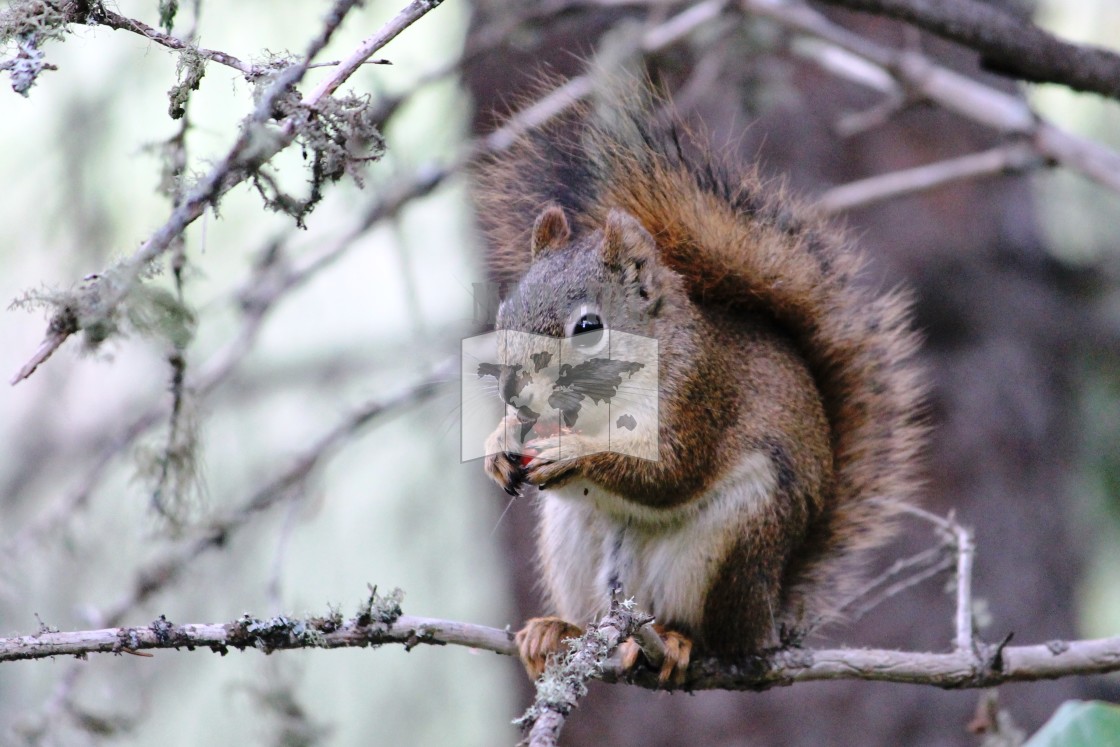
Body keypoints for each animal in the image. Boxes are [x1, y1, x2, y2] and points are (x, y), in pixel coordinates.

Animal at [477, 86, 922, 685]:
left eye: (588, 327)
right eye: (505, 313)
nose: (514, 392)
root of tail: (767, 617)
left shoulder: (699, 395)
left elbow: (670, 472)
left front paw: (574, 454)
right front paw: (498, 443)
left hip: (731, 544)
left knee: (711, 637)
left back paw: (674, 641)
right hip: (573, 543)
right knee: (592, 616)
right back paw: (556, 631)